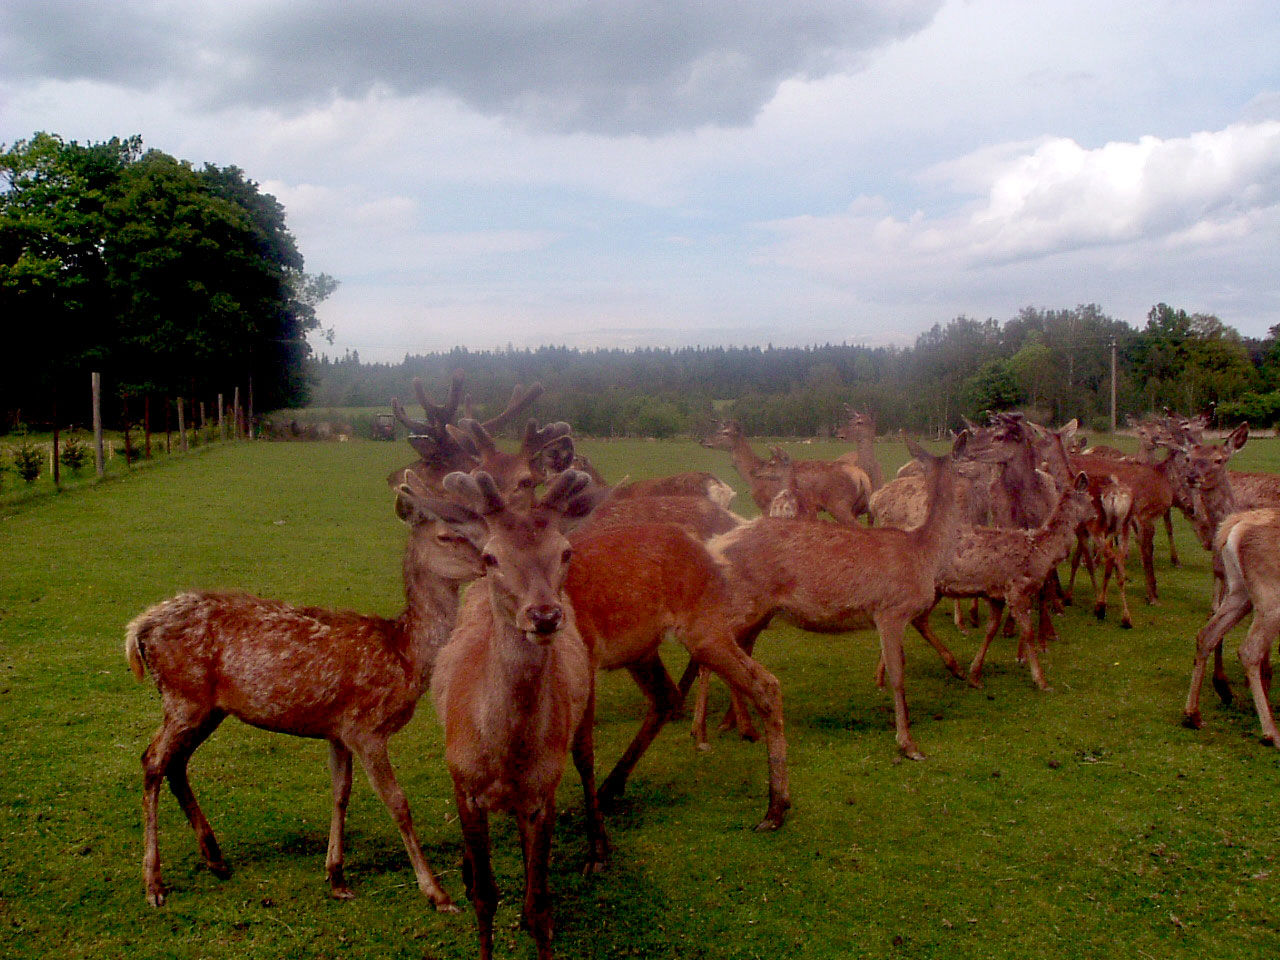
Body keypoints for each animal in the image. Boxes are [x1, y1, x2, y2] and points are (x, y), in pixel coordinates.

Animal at [123, 483, 488, 911]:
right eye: (447, 536)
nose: (489, 560)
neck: (404, 656)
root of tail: (138, 630)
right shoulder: (367, 727)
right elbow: (398, 803)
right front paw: (437, 893)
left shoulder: (338, 730)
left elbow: (340, 794)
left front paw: (337, 877)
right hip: (184, 697)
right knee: (152, 761)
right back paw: (154, 883)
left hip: (206, 707)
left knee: (176, 763)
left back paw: (216, 859)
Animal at [430, 471, 609, 960]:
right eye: (491, 556)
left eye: (565, 551)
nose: (545, 615)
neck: (506, 757)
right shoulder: (464, 783)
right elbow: (485, 897)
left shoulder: (542, 793)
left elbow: (539, 904)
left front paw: (538, 922)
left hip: (587, 699)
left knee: (587, 762)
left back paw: (598, 851)